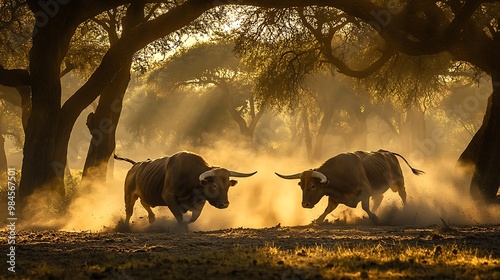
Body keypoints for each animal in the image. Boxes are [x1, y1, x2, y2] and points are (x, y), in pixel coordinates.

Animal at [114, 152, 256, 229]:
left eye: (227, 185)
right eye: (214, 185)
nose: (224, 204)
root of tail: (135, 165)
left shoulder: (200, 201)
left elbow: (194, 217)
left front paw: (187, 224)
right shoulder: (168, 196)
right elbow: (179, 215)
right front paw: (182, 228)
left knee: (145, 203)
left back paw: (152, 218)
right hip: (129, 195)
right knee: (129, 211)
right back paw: (126, 227)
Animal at [276, 150, 424, 224]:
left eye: (313, 186)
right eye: (301, 185)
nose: (305, 204)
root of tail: (388, 153)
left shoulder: (365, 191)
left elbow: (365, 207)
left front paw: (375, 218)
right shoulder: (334, 197)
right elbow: (328, 209)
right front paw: (318, 220)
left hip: (398, 183)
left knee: (402, 194)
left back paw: (406, 209)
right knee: (379, 197)